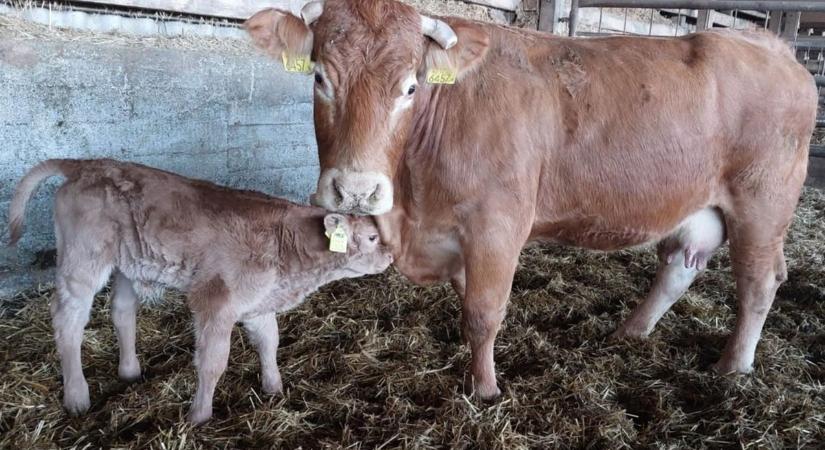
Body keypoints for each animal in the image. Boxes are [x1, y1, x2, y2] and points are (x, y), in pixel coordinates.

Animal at [6, 159, 392, 426]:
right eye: (372, 237)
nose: (390, 256)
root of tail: (85, 163)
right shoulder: (216, 302)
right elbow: (212, 362)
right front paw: (199, 416)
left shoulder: (258, 301)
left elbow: (270, 341)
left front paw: (275, 388)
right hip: (82, 261)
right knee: (67, 320)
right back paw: (76, 397)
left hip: (126, 264)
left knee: (122, 311)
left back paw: (130, 372)